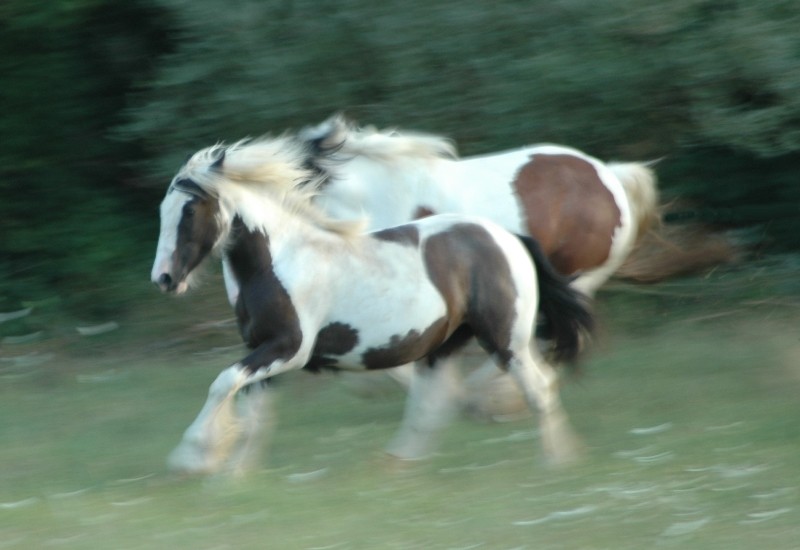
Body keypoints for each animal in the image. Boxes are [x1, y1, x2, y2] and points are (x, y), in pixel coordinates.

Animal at [152, 136, 592, 476]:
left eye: (189, 210)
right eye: (163, 210)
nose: (164, 279)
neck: (281, 262)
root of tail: (508, 237)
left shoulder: (289, 349)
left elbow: (224, 383)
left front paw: (192, 458)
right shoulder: (263, 350)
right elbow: (254, 413)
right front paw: (232, 476)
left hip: (506, 340)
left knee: (537, 388)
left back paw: (555, 463)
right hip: (444, 345)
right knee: (436, 402)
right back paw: (397, 466)